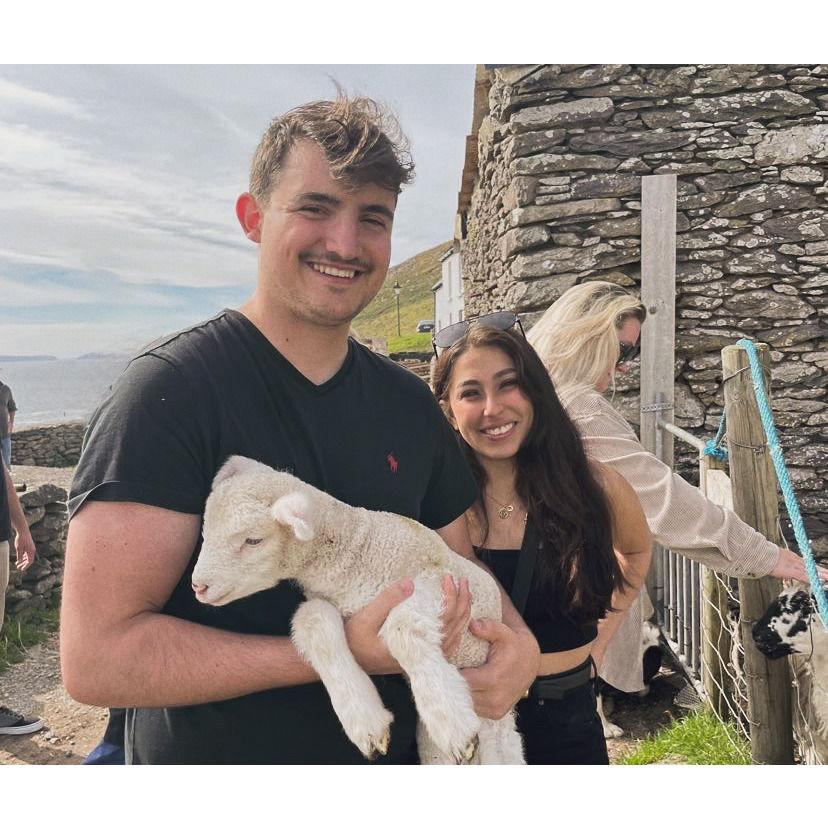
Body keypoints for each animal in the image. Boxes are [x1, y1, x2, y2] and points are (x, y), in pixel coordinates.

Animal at [191, 456, 520, 768]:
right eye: (206, 531)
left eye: (253, 540)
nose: (198, 586)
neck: (357, 552)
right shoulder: (326, 600)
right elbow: (311, 620)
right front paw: (367, 724)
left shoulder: (438, 581)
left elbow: (401, 628)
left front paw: (454, 726)